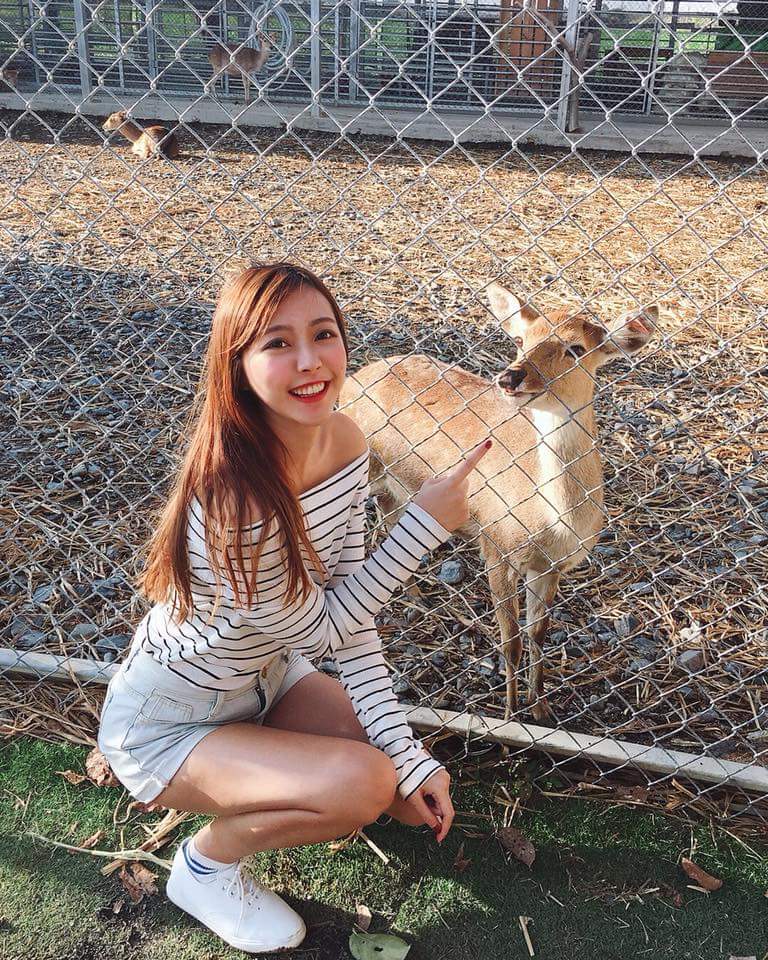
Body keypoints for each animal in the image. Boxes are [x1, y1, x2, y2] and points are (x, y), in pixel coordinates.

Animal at [340, 283, 657, 723]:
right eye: (521, 340)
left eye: (575, 348)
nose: (511, 376)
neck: (553, 523)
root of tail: (354, 378)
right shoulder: (496, 544)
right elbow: (511, 641)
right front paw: (508, 715)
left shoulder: (552, 566)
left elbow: (538, 634)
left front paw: (540, 708)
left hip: (401, 486)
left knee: (385, 522)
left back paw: (412, 597)